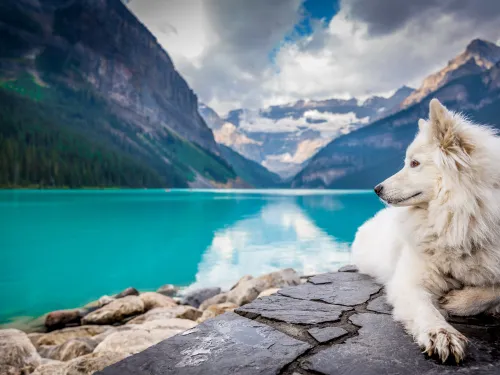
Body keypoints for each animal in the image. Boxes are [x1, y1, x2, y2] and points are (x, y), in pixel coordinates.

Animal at [352, 99, 500, 364]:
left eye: (414, 163)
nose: (376, 189)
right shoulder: (410, 281)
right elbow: (426, 310)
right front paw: (442, 334)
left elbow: (495, 290)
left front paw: (459, 301)